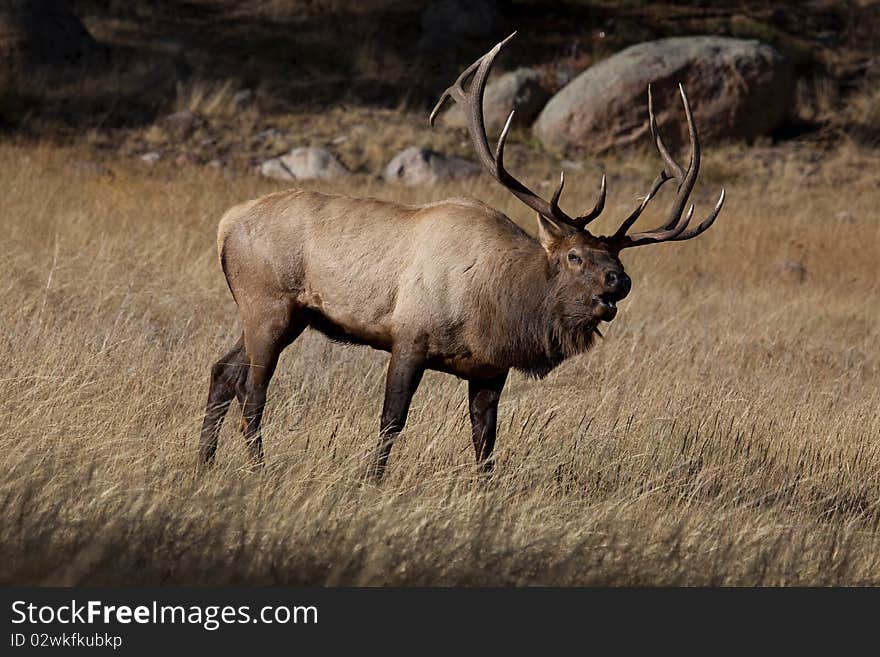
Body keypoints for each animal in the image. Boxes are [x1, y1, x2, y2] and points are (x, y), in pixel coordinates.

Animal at [199, 32, 720, 476]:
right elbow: (392, 420)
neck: (497, 307)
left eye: (620, 260)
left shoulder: (490, 369)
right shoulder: (409, 336)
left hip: (283, 314)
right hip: (269, 303)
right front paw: (372, 480)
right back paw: (257, 469)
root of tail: (226, 224)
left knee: (223, 371)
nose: (620, 281)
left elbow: (485, 441)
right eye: (575, 257)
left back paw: (204, 462)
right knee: (253, 393)